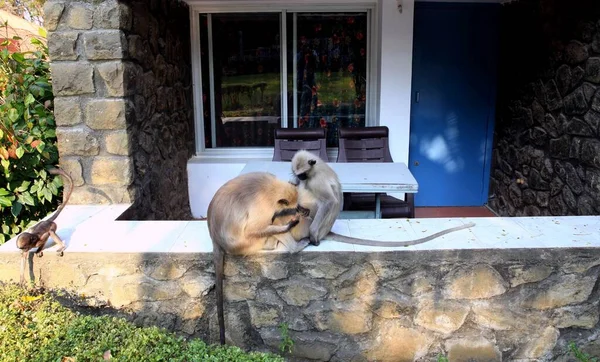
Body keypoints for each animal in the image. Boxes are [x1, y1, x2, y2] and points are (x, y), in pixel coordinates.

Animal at [205, 173, 310, 346]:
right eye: (291, 208)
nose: (298, 210)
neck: (270, 187)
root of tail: (214, 238)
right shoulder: (265, 207)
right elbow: (254, 228)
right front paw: (290, 224)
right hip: (247, 244)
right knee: (267, 226)